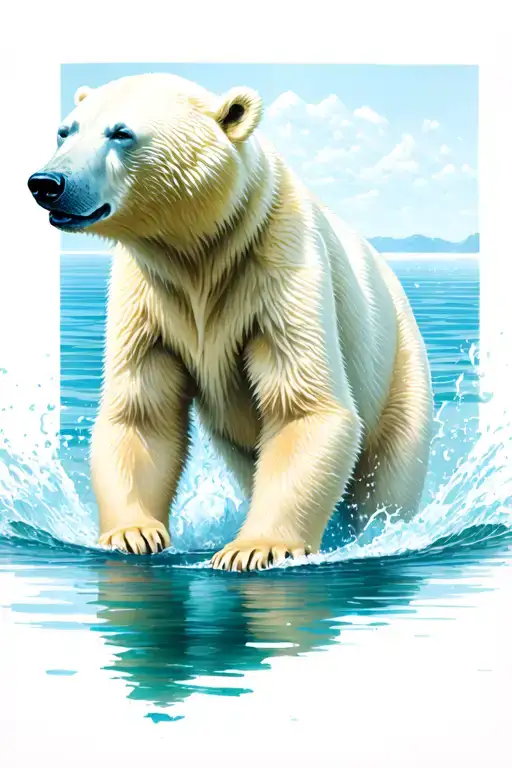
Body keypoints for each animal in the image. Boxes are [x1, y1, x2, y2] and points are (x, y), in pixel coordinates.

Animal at [28, 73, 433, 571]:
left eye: (121, 133)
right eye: (65, 132)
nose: (46, 183)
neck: (201, 253)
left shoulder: (278, 262)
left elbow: (304, 406)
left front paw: (253, 548)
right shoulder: (148, 293)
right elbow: (142, 412)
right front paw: (133, 533)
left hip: (398, 369)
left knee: (387, 474)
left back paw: (377, 529)